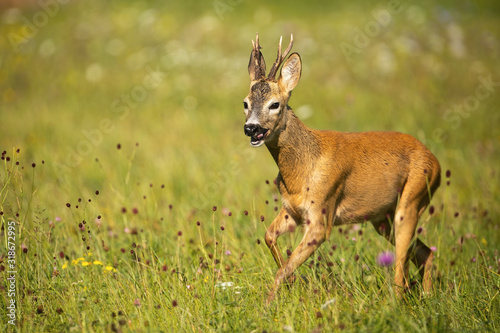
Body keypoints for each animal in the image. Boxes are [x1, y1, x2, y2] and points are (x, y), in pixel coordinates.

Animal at [243, 33, 442, 304]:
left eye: (275, 104)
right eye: (245, 103)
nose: (251, 128)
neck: (302, 169)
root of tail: (436, 162)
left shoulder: (321, 214)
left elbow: (282, 269)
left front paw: (268, 304)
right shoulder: (291, 210)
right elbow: (269, 237)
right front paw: (291, 284)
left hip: (412, 199)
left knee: (401, 272)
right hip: (382, 218)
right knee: (425, 252)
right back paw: (428, 296)